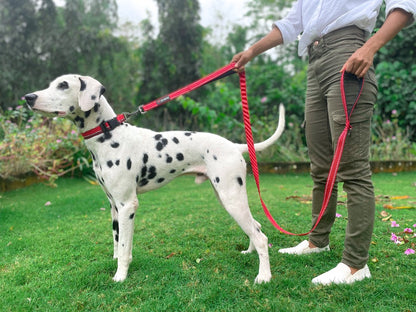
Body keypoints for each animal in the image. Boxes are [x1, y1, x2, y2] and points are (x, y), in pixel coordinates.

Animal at [24, 74, 284, 284]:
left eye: (63, 85)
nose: (28, 97)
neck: (109, 135)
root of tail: (235, 146)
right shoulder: (114, 207)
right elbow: (118, 243)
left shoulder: (127, 205)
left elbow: (124, 248)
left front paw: (120, 276)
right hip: (227, 197)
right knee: (256, 226)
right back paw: (249, 253)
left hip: (232, 198)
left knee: (261, 237)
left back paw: (264, 276)